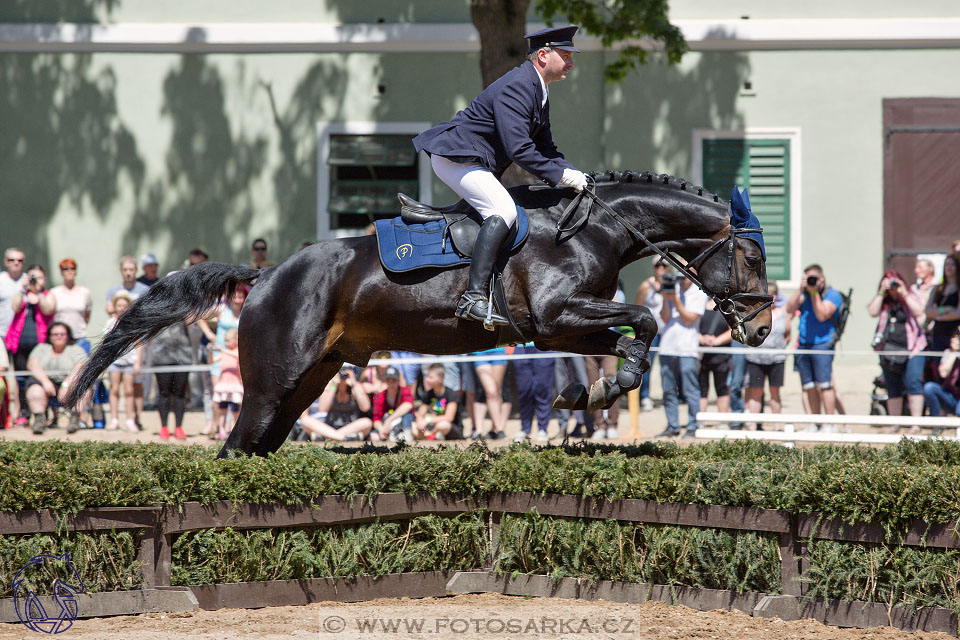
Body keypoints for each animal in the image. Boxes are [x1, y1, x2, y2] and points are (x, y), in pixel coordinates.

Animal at [65, 172, 772, 458]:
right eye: (752, 256)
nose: (764, 328)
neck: (595, 227)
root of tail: (266, 275)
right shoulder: (554, 316)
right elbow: (645, 317)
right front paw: (594, 389)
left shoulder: (564, 325)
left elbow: (632, 335)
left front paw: (588, 391)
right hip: (273, 381)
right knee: (238, 445)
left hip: (310, 381)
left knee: (260, 445)